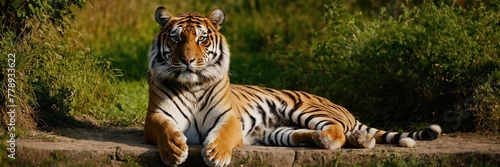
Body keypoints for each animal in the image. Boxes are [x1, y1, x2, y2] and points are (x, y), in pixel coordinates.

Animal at [145, 7, 442, 167]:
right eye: (176, 39)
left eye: (202, 39)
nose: (187, 60)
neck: (192, 85)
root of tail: (343, 108)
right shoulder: (156, 116)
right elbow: (164, 129)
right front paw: (174, 150)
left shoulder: (228, 117)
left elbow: (224, 134)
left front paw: (216, 154)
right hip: (278, 132)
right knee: (318, 135)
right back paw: (352, 140)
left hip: (305, 109)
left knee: (337, 132)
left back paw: (337, 139)